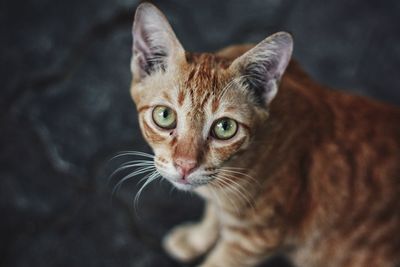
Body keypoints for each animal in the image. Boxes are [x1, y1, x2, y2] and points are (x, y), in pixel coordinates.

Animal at [128, 2, 400, 267]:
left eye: (224, 128)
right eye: (165, 115)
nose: (185, 166)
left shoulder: (255, 240)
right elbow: (214, 213)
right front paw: (197, 238)